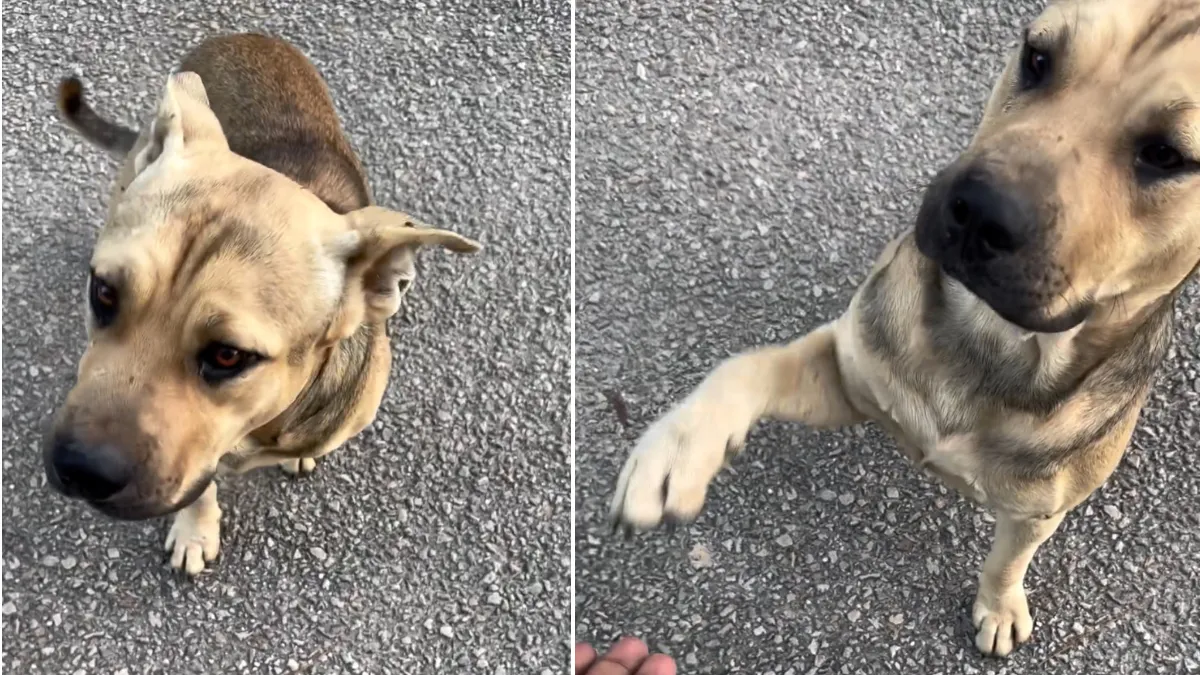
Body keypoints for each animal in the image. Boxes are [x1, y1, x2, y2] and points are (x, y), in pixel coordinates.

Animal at [48, 34, 477, 571]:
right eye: (104, 292)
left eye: (229, 355)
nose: (80, 469)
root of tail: (238, 34)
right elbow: (202, 486)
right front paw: (196, 530)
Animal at [609, 0, 1200, 658]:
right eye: (1037, 57)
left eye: (1167, 156)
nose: (980, 211)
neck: (988, 340)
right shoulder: (847, 373)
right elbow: (748, 365)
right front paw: (677, 446)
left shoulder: (1036, 513)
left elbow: (1006, 561)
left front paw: (999, 606)